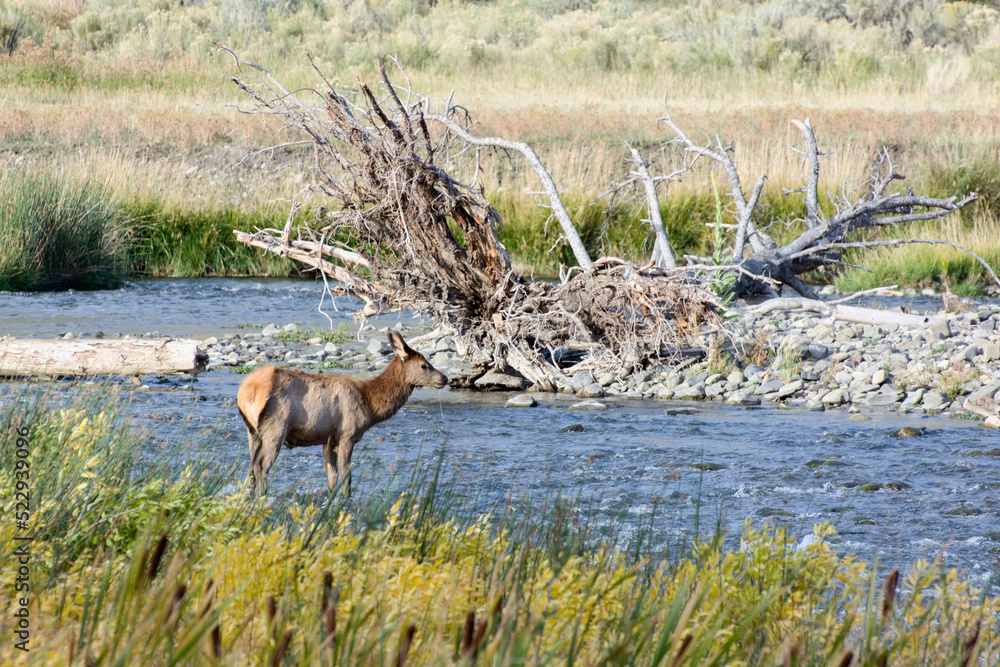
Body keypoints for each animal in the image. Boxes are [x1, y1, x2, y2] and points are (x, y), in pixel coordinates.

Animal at [237, 331, 448, 497]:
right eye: (424, 365)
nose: (444, 378)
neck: (370, 404)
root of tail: (246, 392)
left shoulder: (329, 439)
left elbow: (332, 479)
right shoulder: (347, 435)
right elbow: (346, 477)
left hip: (252, 431)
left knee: (251, 467)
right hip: (276, 427)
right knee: (262, 467)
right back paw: (263, 496)